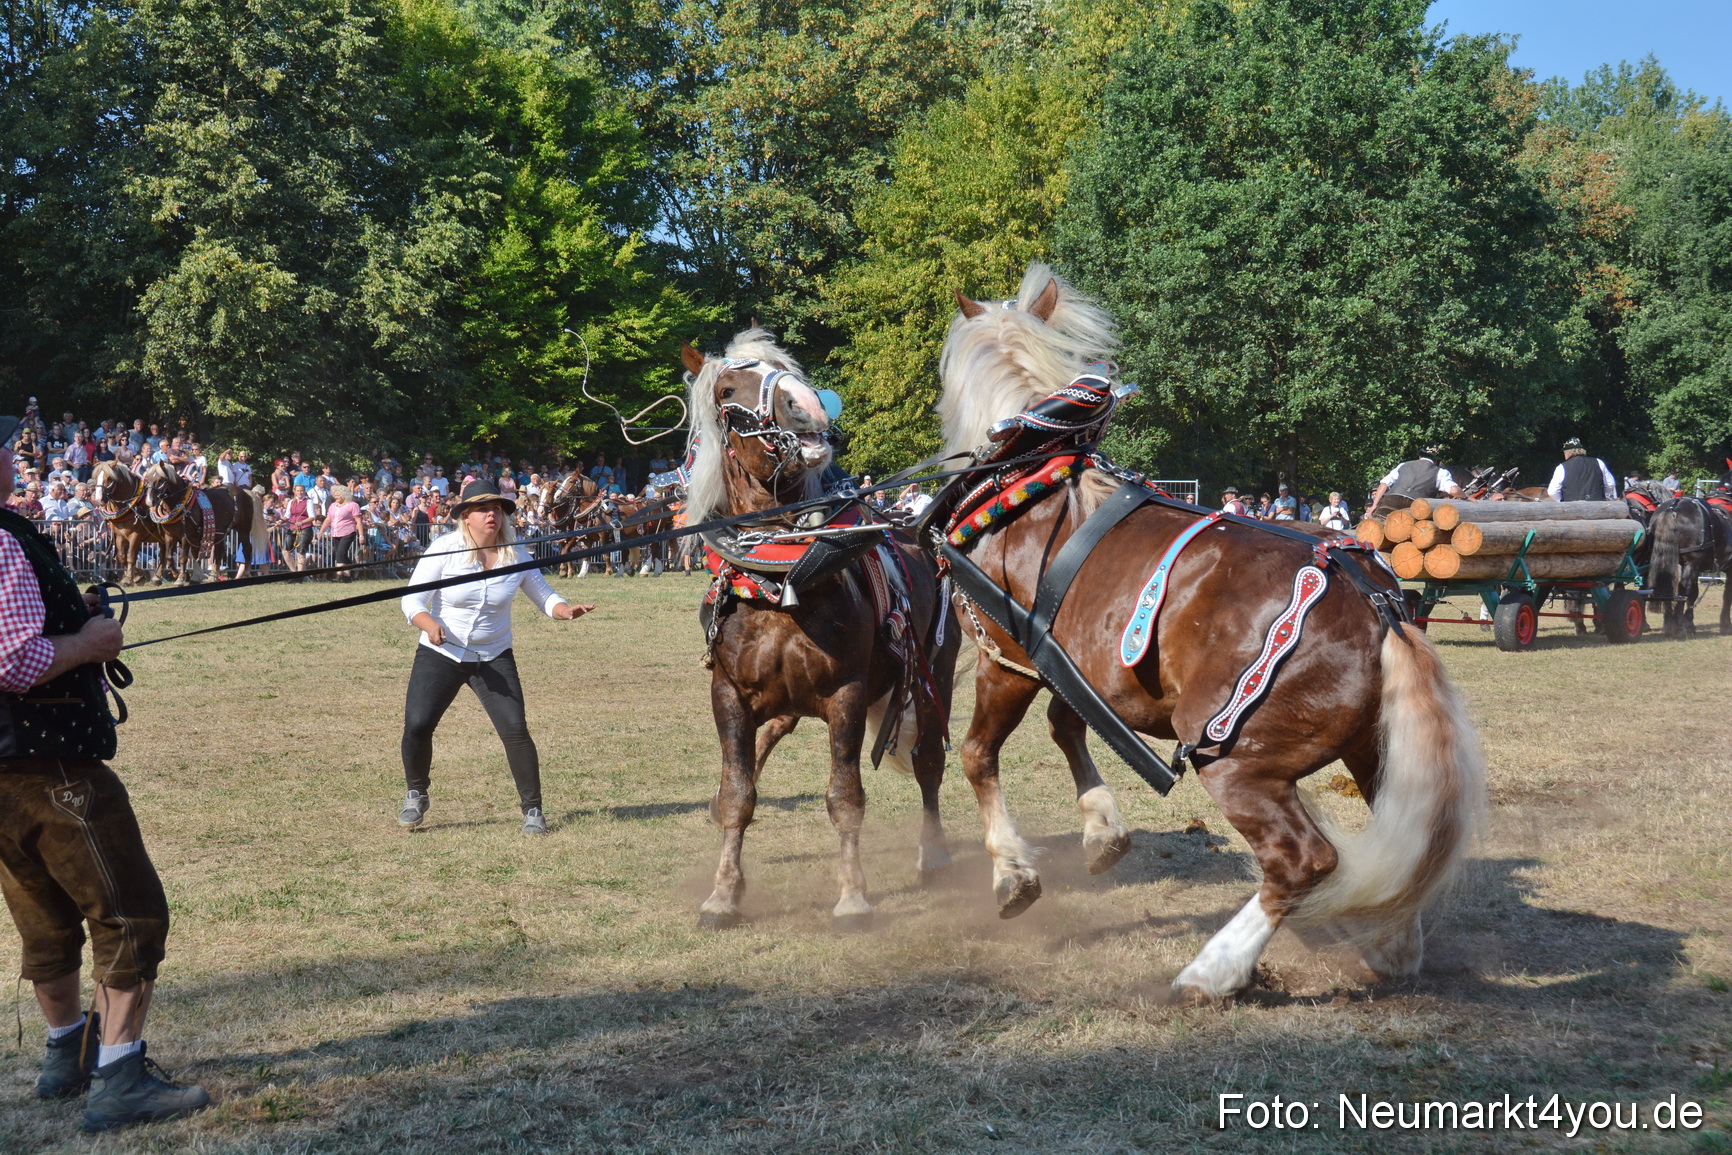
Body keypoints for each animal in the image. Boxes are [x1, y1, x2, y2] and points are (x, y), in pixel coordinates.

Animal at [139, 462, 269, 583]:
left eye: (160, 479)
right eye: (147, 479)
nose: (149, 501)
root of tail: (245, 492)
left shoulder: (186, 536)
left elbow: (183, 558)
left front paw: (180, 579)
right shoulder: (169, 536)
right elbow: (169, 557)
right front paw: (178, 575)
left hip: (243, 529)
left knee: (247, 549)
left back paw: (246, 573)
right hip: (220, 532)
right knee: (219, 552)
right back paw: (213, 576)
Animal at [681, 328, 959, 928]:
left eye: (789, 372)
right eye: (728, 388)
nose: (806, 404)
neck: (779, 584)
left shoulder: (846, 695)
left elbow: (845, 797)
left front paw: (852, 896)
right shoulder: (728, 695)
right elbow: (738, 793)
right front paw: (723, 893)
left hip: (934, 675)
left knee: (928, 762)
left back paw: (934, 853)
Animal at [931, 263, 1486, 1003]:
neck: (1025, 481)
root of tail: (1379, 606)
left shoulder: (1008, 657)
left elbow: (977, 754)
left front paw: (1012, 874)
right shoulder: (1077, 667)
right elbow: (1065, 725)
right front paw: (1102, 831)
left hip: (1234, 758)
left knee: (1303, 860)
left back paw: (1215, 967)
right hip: (1375, 748)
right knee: (1398, 839)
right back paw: (1392, 940)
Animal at [1647, 491, 1732, 637]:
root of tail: (1672, 509)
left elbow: (1694, 593)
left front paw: (1690, 624)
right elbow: (1727, 595)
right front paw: (1726, 625)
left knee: (1668, 584)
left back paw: (1669, 623)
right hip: (1691, 562)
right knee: (1683, 589)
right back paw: (1678, 627)